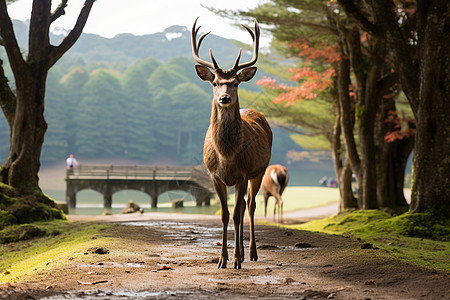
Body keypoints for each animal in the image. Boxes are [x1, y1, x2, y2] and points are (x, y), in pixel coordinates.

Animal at [192, 17, 272, 270]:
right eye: (215, 83)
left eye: (236, 83)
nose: (224, 98)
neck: (226, 154)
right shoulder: (214, 176)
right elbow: (225, 214)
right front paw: (222, 260)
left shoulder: (242, 174)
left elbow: (236, 214)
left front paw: (236, 259)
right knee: (243, 206)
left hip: (260, 171)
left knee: (250, 206)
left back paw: (252, 253)